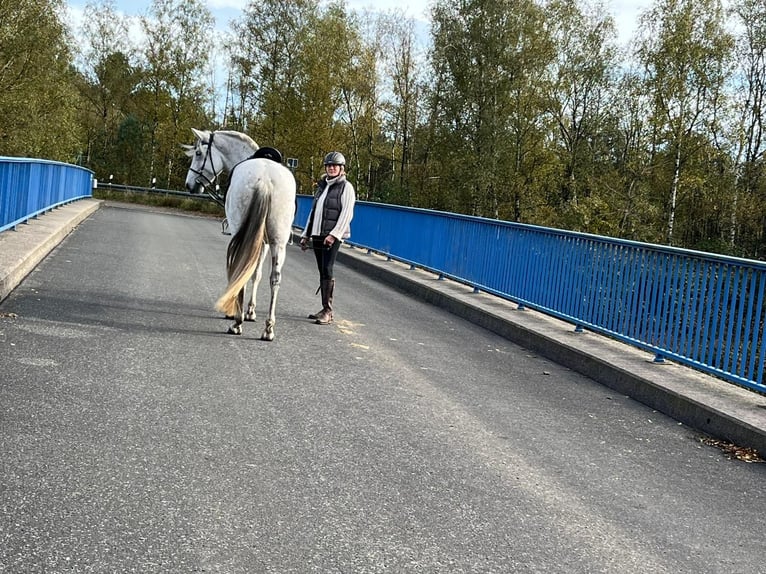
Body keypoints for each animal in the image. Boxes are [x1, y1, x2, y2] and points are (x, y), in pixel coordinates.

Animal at [183, 129, 296, 342]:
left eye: (199, 154)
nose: (189, 185)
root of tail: (265, 179)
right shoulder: (265, 243)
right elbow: (256, 274)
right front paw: (250, 312)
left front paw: (239, 312)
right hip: (279, 242)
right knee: (275, 278)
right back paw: (268, 328)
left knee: (241, 266)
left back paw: (237, 322)